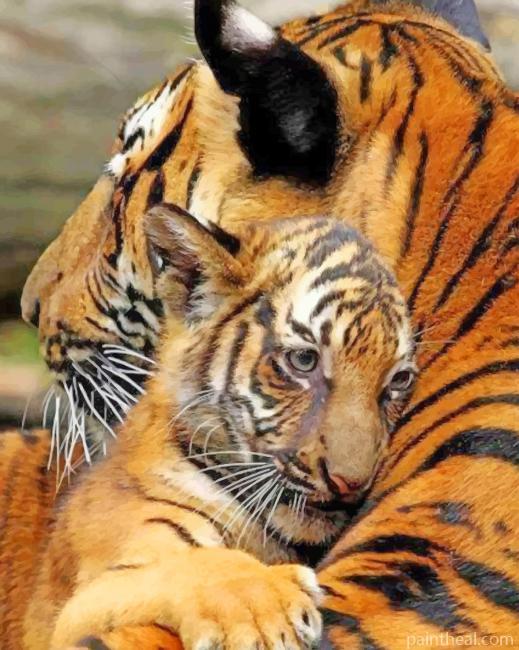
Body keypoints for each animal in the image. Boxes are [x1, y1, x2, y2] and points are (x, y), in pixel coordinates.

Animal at [21, 206, 415, 650]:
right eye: (304, 360)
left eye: (398, 381)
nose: (351, 483)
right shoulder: (74, 610)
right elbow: (193, 564)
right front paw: (266, 610)